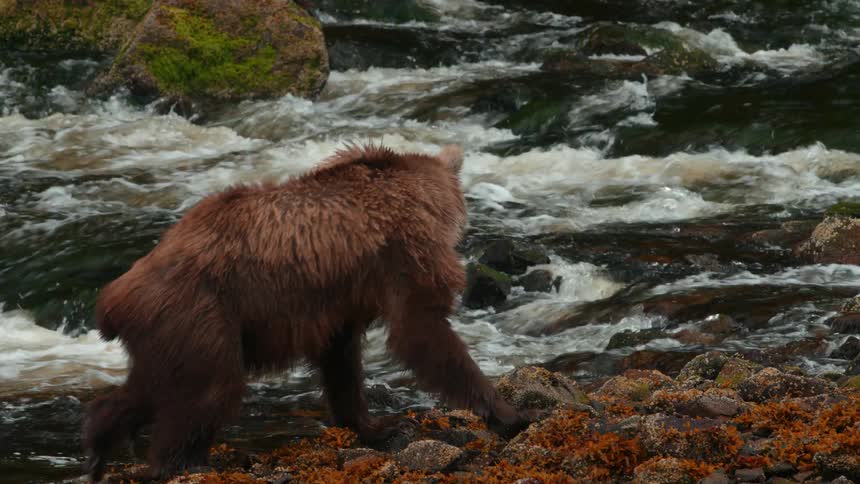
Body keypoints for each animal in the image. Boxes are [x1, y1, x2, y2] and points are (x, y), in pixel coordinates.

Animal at [82, 144, 525, 482]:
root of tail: (112, 297)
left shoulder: (342, 296)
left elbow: (342, 361)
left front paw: (379, 426)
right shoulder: (403, 253)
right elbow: (422, 329)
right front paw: (510, 412)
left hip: (170, 332)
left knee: (146, 390)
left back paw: (100, 445)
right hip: (200, 314)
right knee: (207, 391)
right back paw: (180, 463)